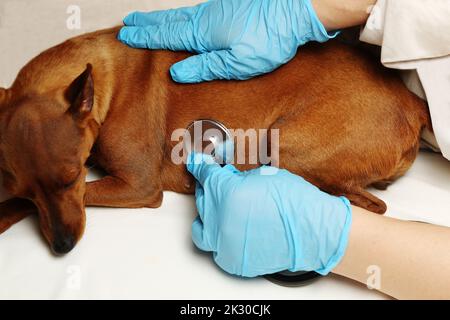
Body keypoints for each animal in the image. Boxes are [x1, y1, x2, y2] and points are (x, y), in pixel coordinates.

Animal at [0, 26, 430, 254]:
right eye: (22, 185)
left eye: (72, 178)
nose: (62, 246)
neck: (105, 81)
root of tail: (411, 100)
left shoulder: (137, 185)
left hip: (285, 148)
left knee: (370, 206)